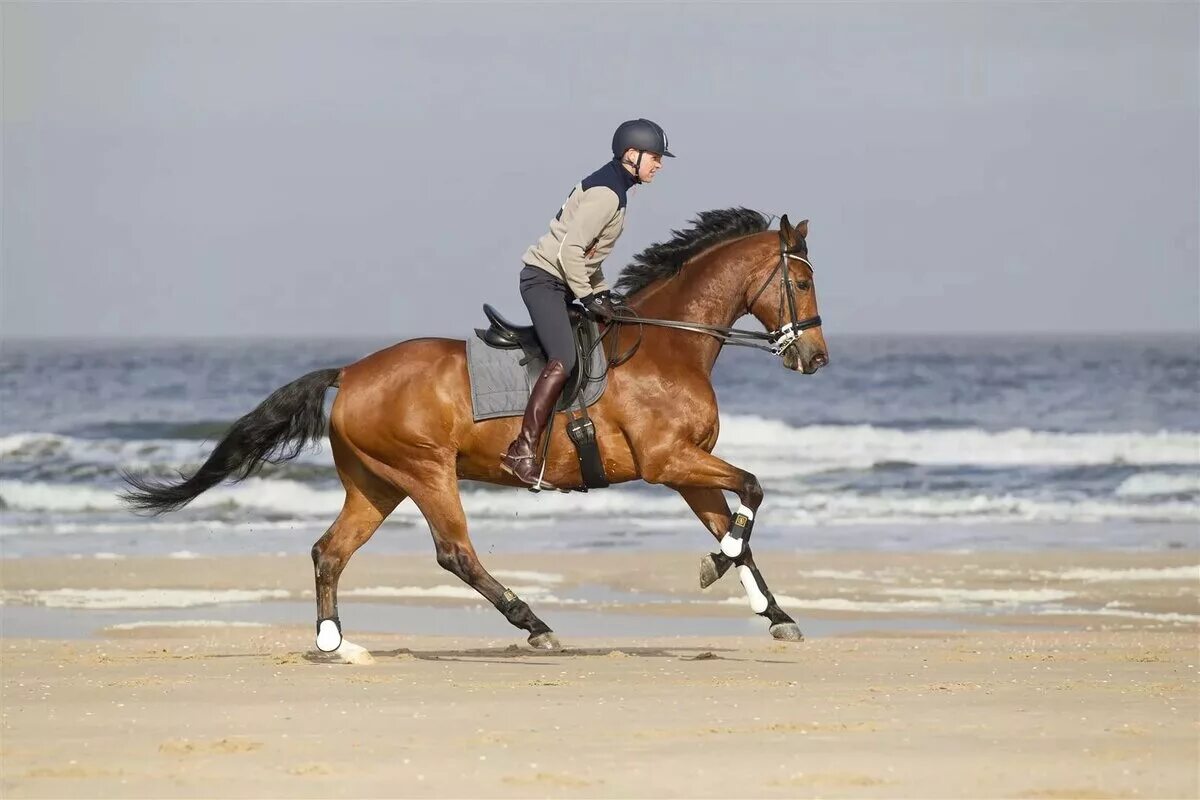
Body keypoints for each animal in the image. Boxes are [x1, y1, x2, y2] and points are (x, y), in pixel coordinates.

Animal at [126, 209, 830, 652]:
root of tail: (350, 372)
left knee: (330, 551)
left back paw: (333, 641)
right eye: (800, 281)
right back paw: (533, 623)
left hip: (377, 483)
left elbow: (738, 527)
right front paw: (721, 570)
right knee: (454, 552)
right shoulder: (667, 462)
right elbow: (754, 490)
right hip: (426, 470)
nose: (816, 358)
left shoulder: (688, 469)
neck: (668, 346)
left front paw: (773, 613)